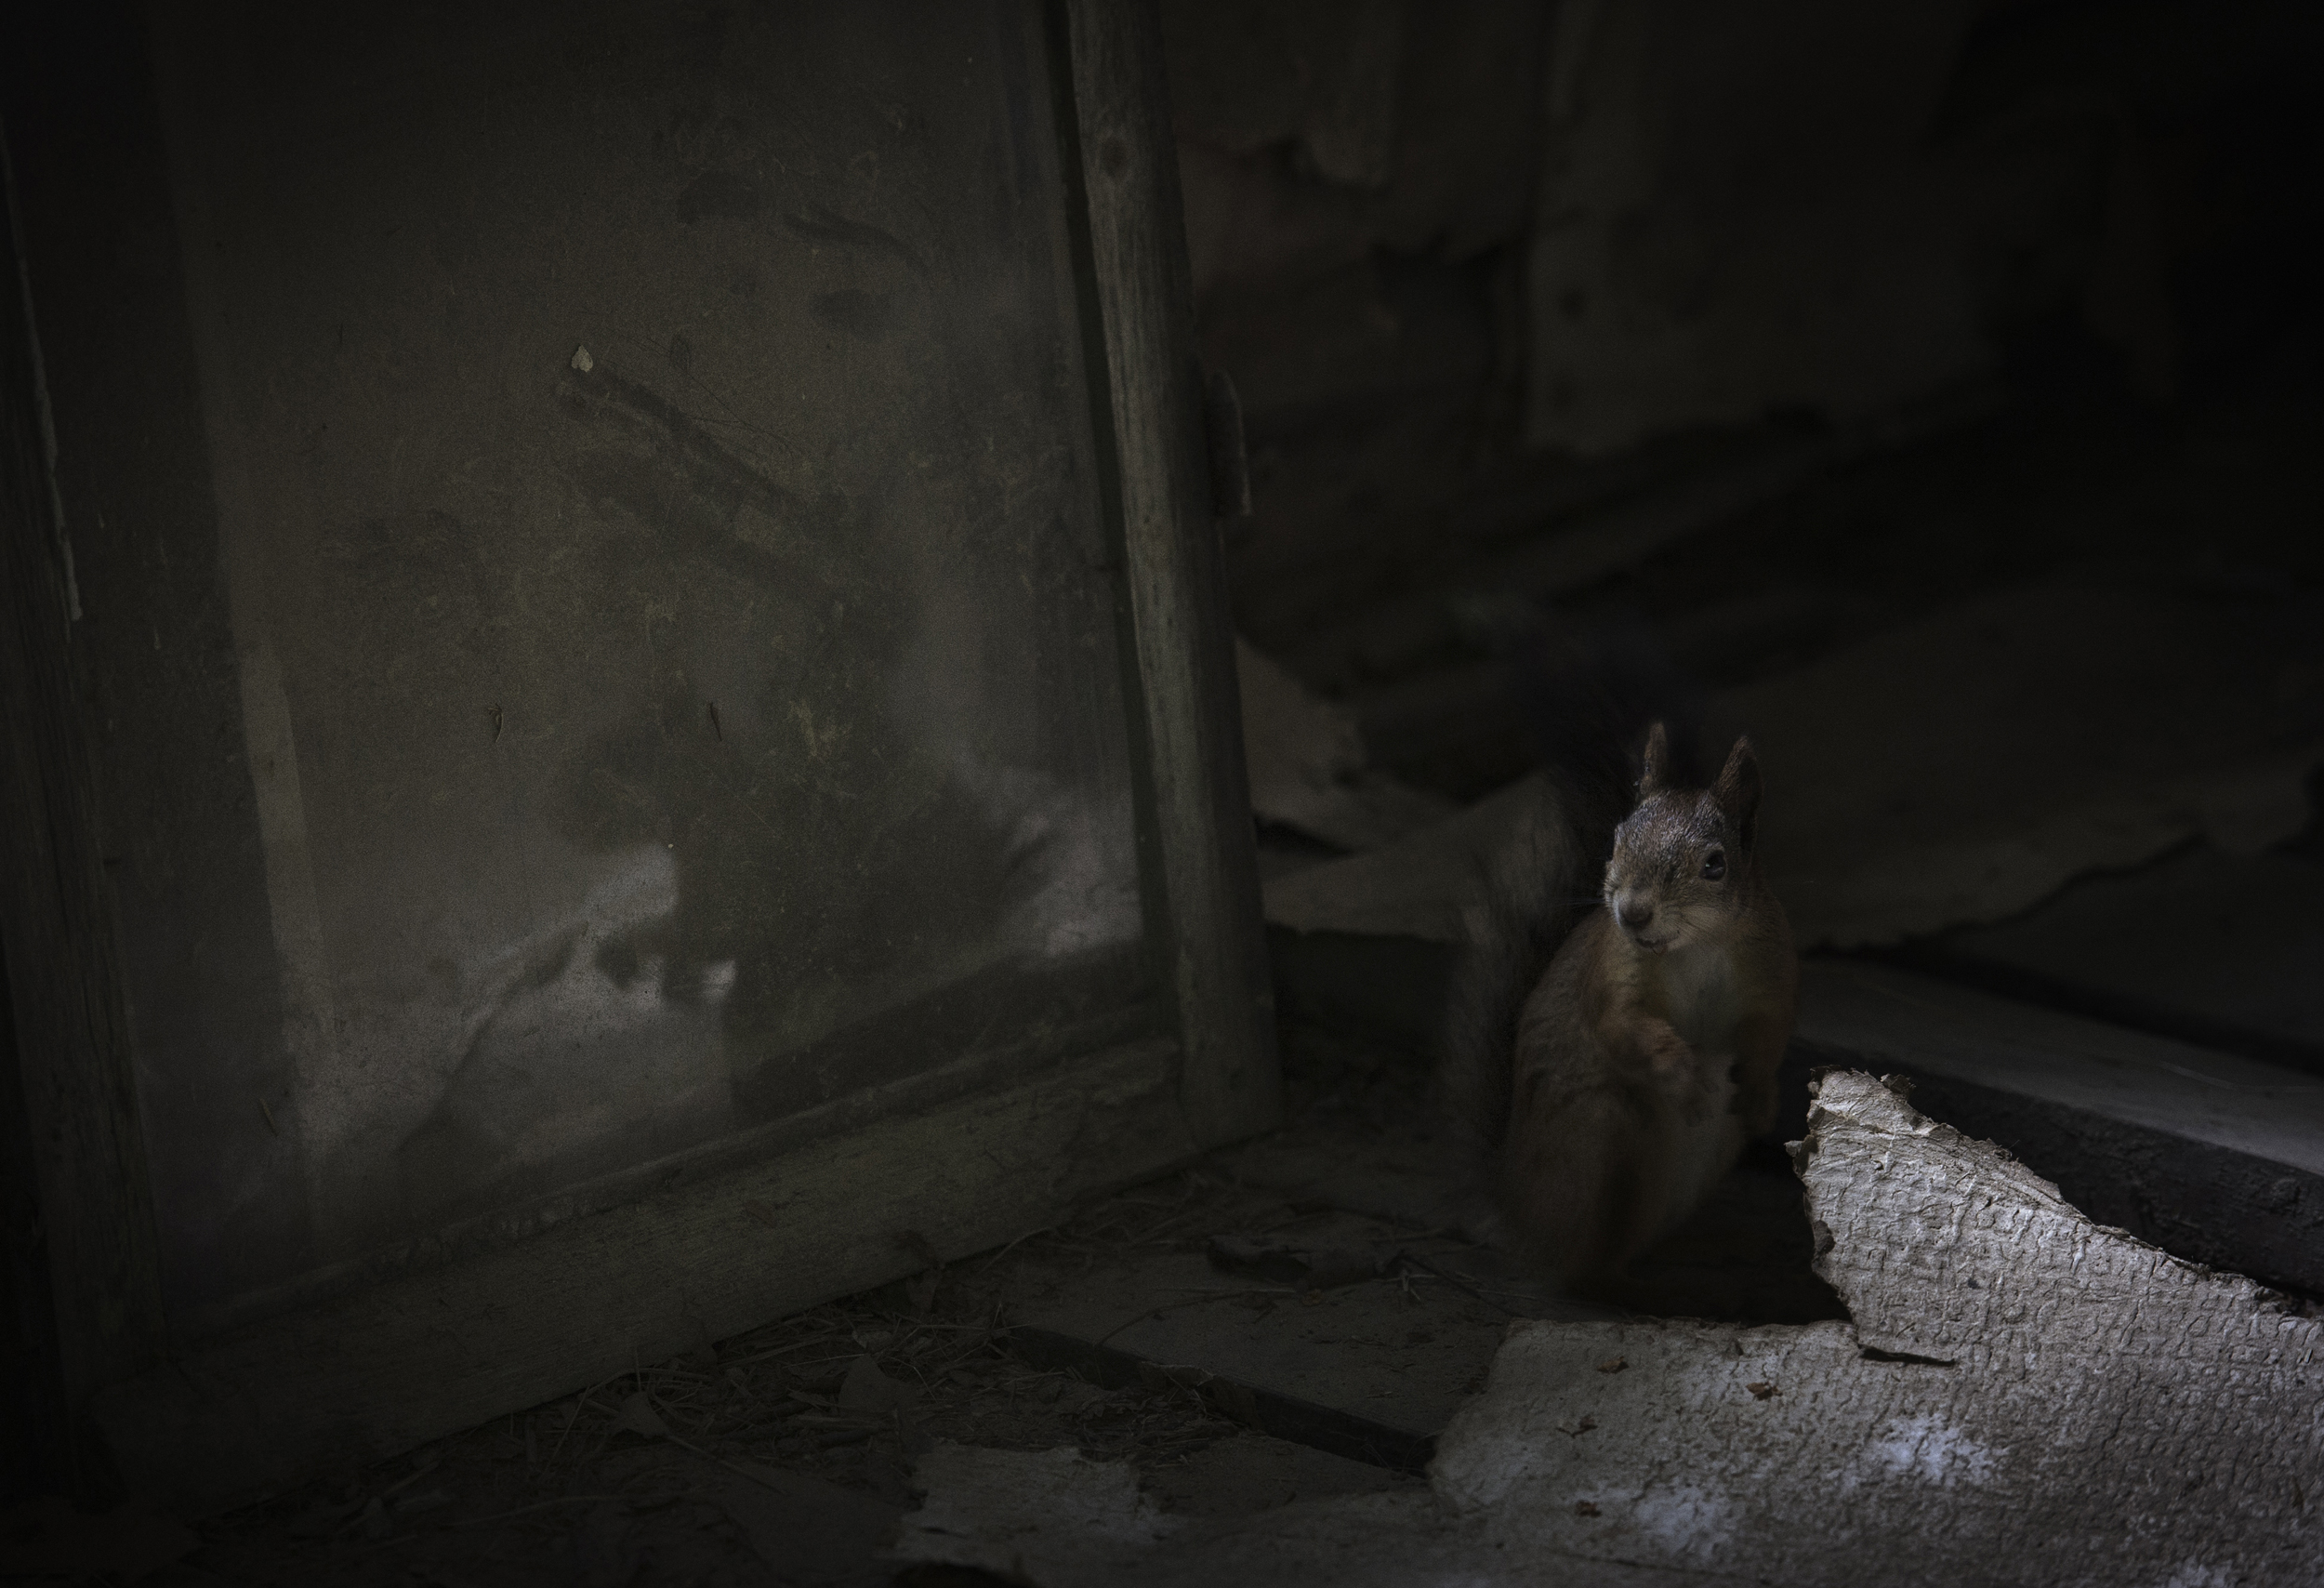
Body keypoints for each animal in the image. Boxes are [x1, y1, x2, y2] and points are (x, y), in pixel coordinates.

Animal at [1438, 631, 1797, 1293]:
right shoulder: (1612, 971)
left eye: (1715, 864)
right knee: (1580, 1265)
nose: (1631, 912)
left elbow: (1769, 1031)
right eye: (1615, 839)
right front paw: (1681, 1072)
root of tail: (1515, 1213)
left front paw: (1762, 1095)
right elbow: (1620, 1025)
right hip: (1606, 1143)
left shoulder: (1770, 970)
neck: (1695, 947)